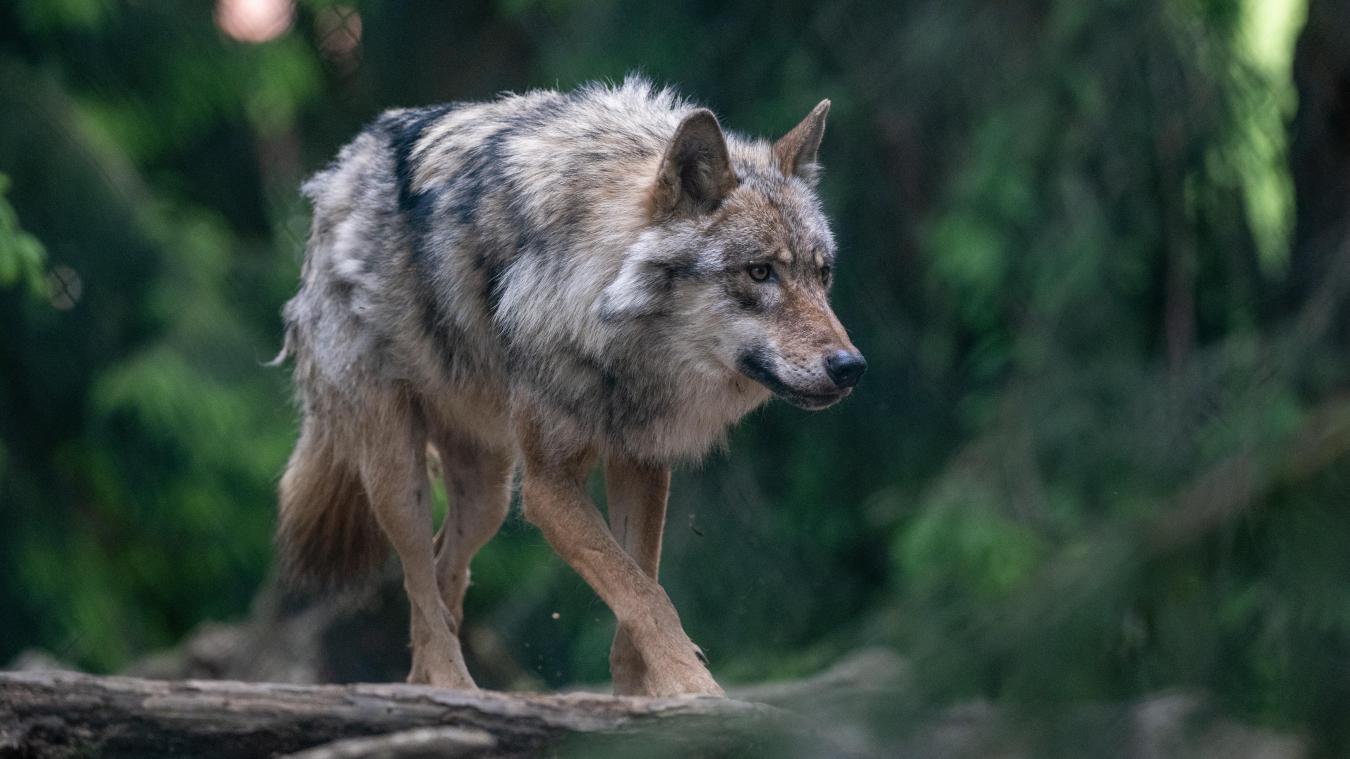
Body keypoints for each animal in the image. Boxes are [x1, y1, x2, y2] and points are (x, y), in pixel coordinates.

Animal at [274, 77, 865, 697]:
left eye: (822, 275)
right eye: (759, 272)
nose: (850, 366)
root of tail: (340, 170)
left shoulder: (641, 463)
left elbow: (639, 587)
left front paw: (642, 696)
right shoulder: (548, 487)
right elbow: (644, 595)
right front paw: (694, 689)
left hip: (487, 495)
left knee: (442, 577)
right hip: (401, 476)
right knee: (419, 583)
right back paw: (453, 688)